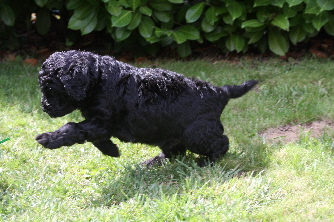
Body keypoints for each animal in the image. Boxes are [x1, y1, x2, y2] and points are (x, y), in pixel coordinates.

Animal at [35, 49, 258, 165]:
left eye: (50, 88)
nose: (45, 108)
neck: (98, 78)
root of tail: (220, 92)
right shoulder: (97, 122)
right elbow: (91, 136)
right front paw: (111, 151)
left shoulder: (104, 120)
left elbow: (73, 127)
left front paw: (49, 138)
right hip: (168, 132)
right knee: (176, 151)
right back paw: (154, 162)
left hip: (196, 133)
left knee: (222, 142)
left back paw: (207, 161)